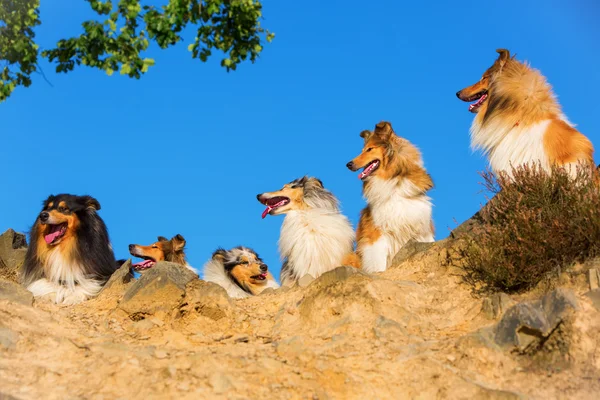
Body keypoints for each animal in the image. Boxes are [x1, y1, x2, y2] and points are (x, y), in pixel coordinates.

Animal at [346, 120, 436, 274]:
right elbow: (379, 263)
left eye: (369, 149)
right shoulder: (378, 234)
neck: (394, 181)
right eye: (363, 149)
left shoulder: (421, 229)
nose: (348, 164)